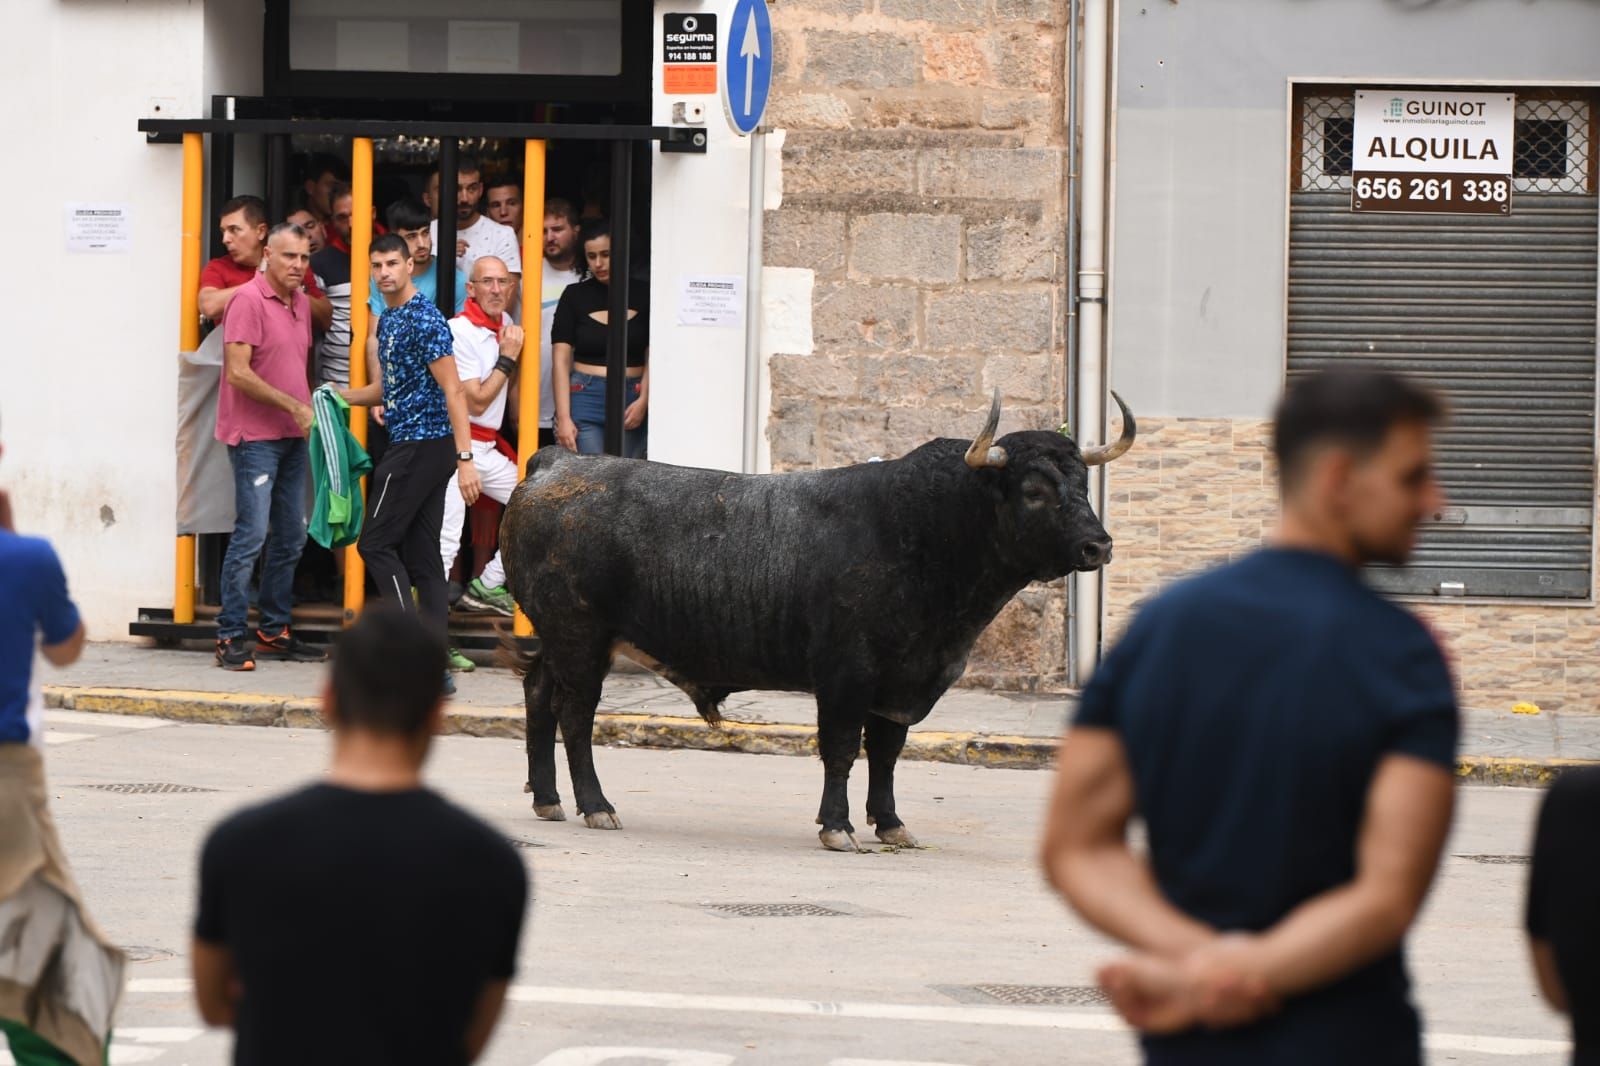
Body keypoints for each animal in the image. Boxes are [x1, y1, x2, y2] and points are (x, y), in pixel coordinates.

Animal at [502, 390, 1139, 845]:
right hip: (582, 639)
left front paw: (890, 823)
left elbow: (886, 754)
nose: (1098, 546)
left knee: (538, 696)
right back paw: (596, 806)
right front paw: (838, 825)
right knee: (575, 716)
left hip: (561, 642)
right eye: (1033, 490)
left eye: (1082, 483)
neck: (925, 529)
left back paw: (547, 799)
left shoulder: (901, 681)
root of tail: (556, 463)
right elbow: (841, 749)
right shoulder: (846, 675)